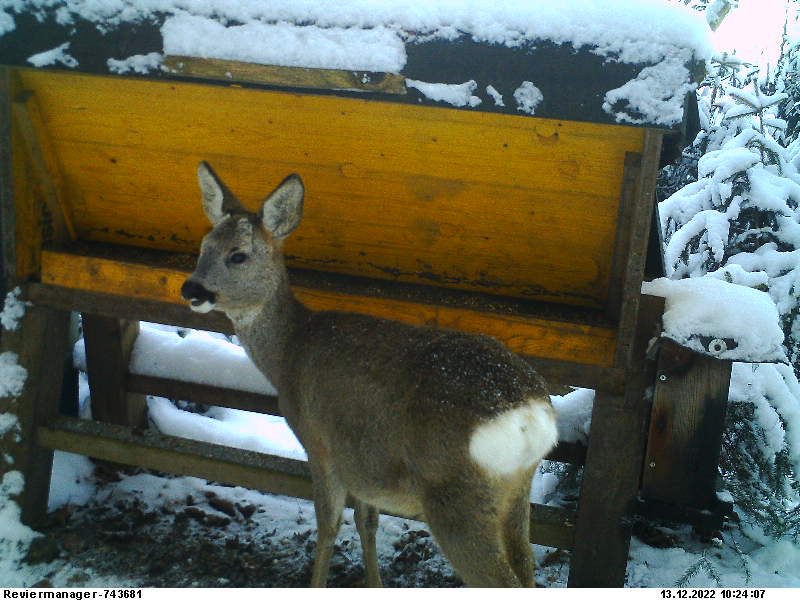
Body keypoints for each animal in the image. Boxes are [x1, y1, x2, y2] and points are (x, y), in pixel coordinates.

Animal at [181, 162, 559, 587]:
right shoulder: (359, 460)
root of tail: (529, 412)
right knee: (526, 562)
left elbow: (328, 526)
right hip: (517, 491)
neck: (289, 353)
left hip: (456, 496)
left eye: (238, 255)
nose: (191, 288)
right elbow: (367, 522)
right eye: (203, 246)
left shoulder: (318, 441)